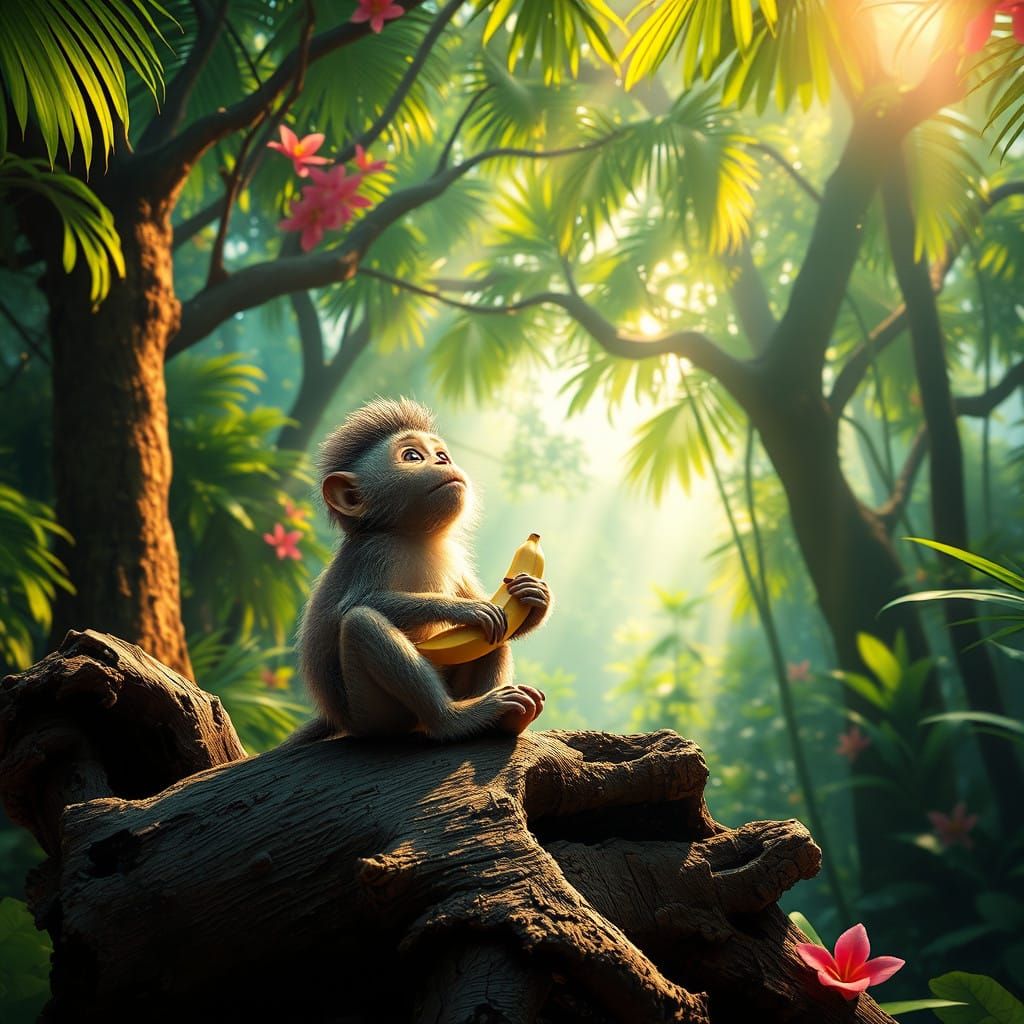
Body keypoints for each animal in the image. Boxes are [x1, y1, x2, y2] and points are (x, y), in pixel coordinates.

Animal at [291, 397, 552, 744]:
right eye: (413, 456)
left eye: (442, 455)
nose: (443, 462)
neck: (415, 536)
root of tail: (337, 718)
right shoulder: (374, 551)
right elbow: (355, 606)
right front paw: (464, 609)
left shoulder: (455, 558)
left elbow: (508, 619)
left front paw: (536, 595)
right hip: (372, 716)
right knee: (361, 623)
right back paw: (456, 719)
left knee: (496, 636)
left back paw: (507, 719)